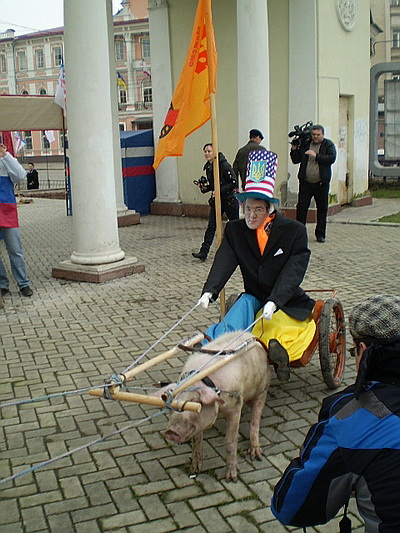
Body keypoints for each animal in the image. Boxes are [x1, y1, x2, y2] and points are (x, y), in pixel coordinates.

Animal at [161, 330, 270, 480]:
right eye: (171, 406)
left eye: (196, 402)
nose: (171, 432)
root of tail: (251, 335)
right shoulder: (199, 422)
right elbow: (197, 440)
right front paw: (195, 469)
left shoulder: (236, 406)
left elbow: (230, 441)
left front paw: (232, 477)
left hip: (262, 388)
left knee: (255, 420)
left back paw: (256, 456)